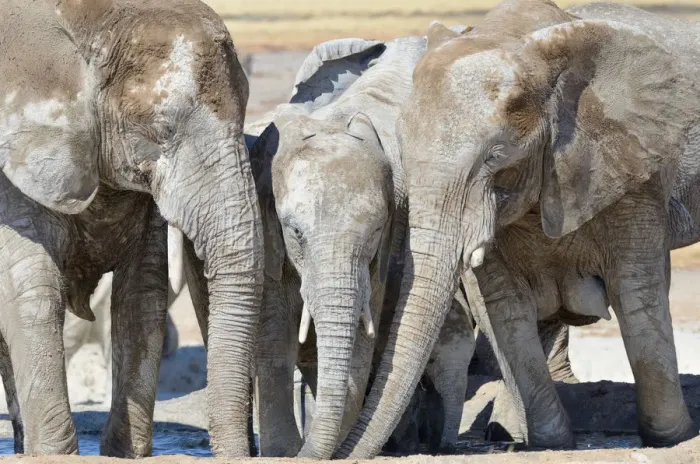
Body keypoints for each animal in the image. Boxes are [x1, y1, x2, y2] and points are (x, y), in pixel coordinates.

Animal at [0, 0, 263, 457]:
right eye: (162, 131)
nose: (247, 448)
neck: (92, 21)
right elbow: (33, 292)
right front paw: (55, 455)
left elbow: (142, 296)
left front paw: (123, 454)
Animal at [337, 0, 700, 458]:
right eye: (399, 147)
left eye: (495, 155)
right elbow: (505, 308)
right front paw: (551, 442)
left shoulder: (632, 163)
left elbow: (636, 290)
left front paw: (672, 437)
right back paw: (508, 434)